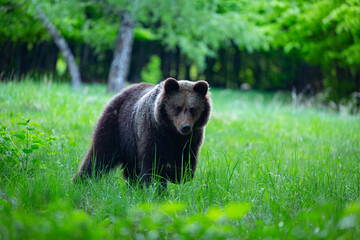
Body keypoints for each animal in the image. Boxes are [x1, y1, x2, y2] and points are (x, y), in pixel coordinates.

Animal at [73, 77, 211, 188]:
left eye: (193, 109)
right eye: (177, 108)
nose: (185, 127)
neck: (172, 132)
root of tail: (120, 93)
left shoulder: (191, 140)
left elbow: (186, 166)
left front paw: (173, 173)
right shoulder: (153, 132)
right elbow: (152, 165)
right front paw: (158, 187)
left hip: (130, 145)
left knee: (130, 169)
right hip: (117, 127)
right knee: (99, 155)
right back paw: (80, 180)